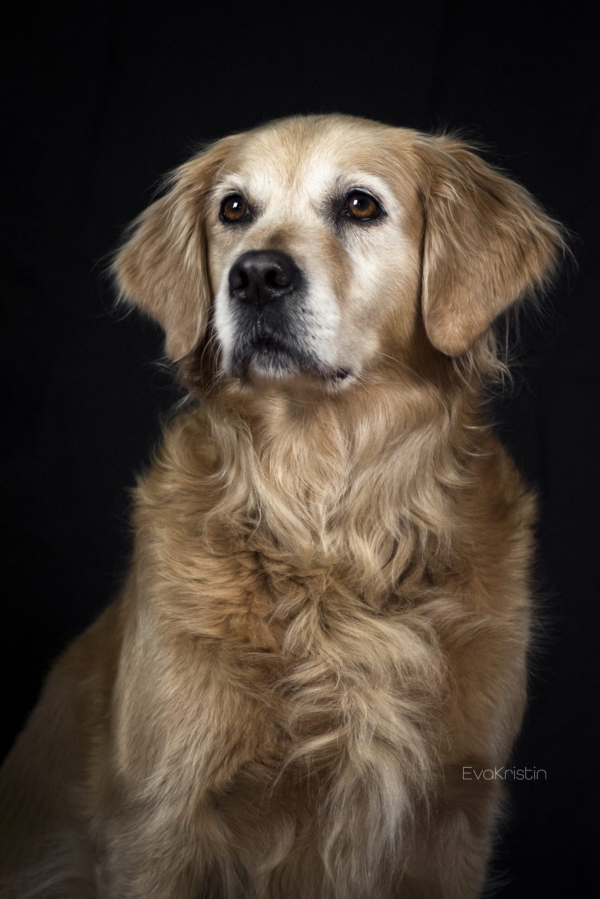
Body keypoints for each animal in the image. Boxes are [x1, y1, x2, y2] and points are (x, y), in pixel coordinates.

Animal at [0, 116, 564, 896]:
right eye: (234, 209)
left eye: (360, 205)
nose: (257, 276)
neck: (326, 515)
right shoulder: (159, 821)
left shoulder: (452, 819)